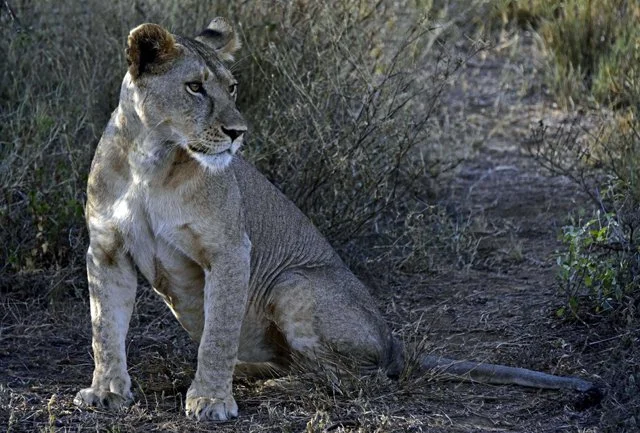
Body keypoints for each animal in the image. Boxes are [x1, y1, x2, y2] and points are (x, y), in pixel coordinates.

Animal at [74, 18, 598, 421]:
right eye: (194, 87)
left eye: (232, 87)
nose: (238, 132)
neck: (151, 161)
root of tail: (395, 341)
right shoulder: (105, 251)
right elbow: (105, 329)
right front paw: (106, 392)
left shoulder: (229, 250)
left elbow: (218, 334)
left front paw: (210, 400)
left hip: (293, 284)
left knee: (355, 376)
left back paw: (271, 383)